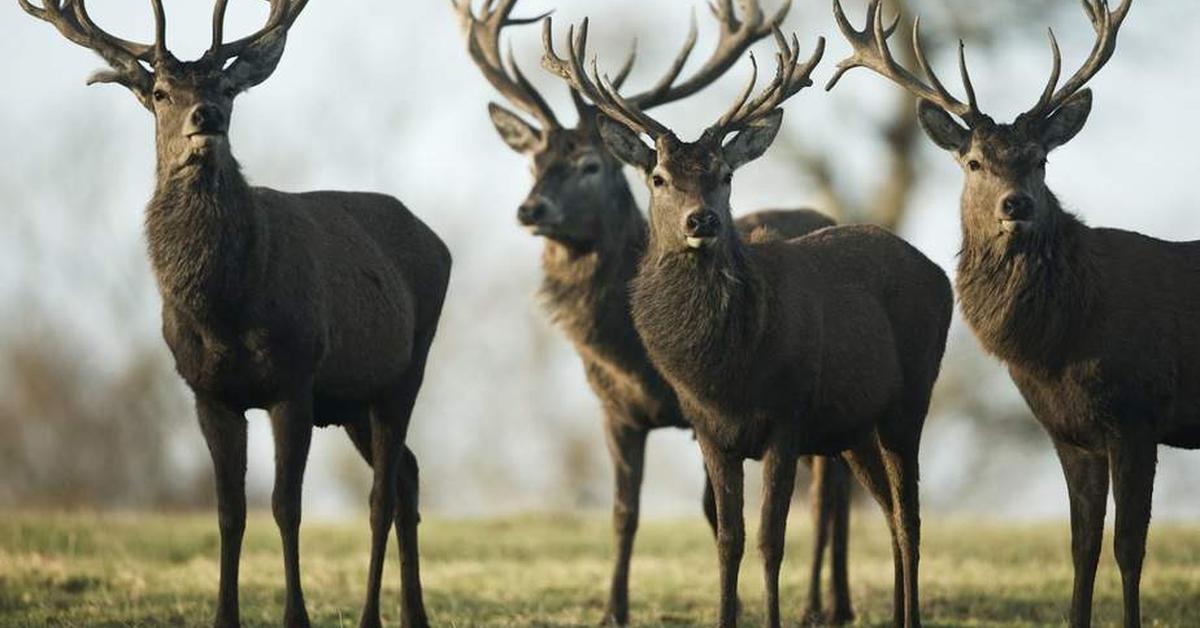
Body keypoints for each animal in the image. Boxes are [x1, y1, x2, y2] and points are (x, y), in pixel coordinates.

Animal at [16, 1, 451, 628]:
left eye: (225, 87)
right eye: (161, 91)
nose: (207, 117)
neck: (223, 310)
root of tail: (439, 243)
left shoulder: (294, 381)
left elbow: (285, 506)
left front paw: (297, 617)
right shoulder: (209, 392)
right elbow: (229, 512)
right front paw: (225, 615)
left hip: (405, 370)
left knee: (380, 495)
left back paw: (374, 615)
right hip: (352, 400)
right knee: (408, 478)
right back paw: (414, 614)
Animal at [453, 0, 859, 624]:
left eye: (591, 165)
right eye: (532, 162)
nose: (530, 209)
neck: (627, 353)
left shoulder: (706, 414)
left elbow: (716, 513)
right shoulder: (614, 409)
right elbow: (625, 512)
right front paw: (612, 609)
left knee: (832, 491)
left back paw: (826, 603)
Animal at [547, 14, 955, 628]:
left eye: (725, 174)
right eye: (658, 177)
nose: (702, 221)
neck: (725, 371)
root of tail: (941, 275)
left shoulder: (787, 417)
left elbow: (770, 539)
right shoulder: (710, 430)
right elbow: (727, 538)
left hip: (910, 400)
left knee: (908, 517)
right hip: (855, 426)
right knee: (886, 512)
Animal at [825, 0, 1200, 624]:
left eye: (1041, 160)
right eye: (974, 161)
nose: (1015, 204)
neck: (1060, 343)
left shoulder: (1137, 412)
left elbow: (1129, 547)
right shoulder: (1069, 432)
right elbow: (1082, 546)